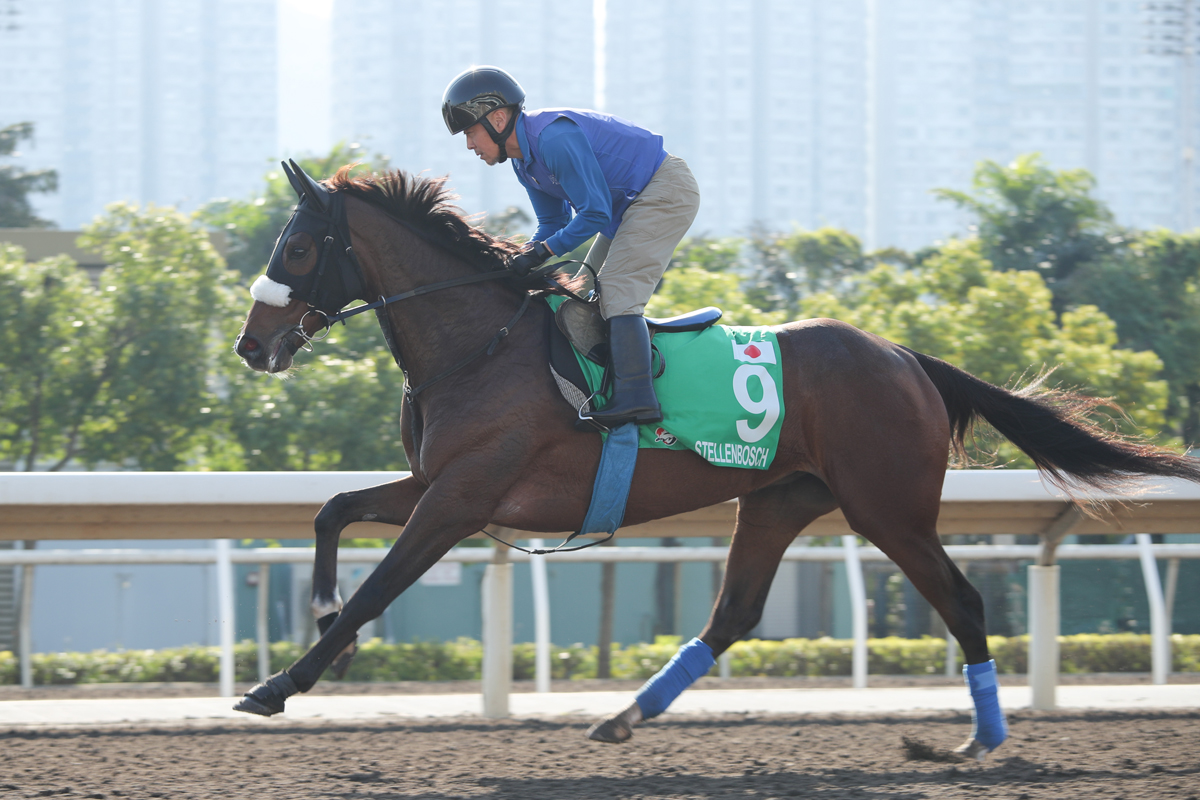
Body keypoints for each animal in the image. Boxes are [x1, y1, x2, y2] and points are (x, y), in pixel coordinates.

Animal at [231, 159, 1200, 762]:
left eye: (300, 247)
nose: (250, 346)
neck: (482, 343)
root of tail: (906, 357)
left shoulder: (463, 497)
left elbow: (380, 585)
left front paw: (282, 682)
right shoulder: (440, 484)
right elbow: (332, 512)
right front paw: (323, 623)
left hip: (888, 508)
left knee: (960, 602)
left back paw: (981, 741)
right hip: (779, 500)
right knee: (734, 613)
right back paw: (623, 718)